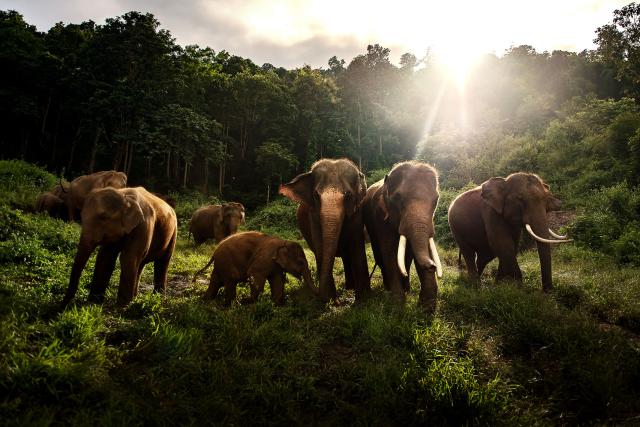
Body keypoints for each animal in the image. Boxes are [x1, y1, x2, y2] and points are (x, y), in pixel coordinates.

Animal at [279, 158, 371, 303]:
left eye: (348, 195)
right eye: (316, 196)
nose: (339, 302)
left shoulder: (357, 213)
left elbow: (357, 247)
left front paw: (362, 301)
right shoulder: (313, 216)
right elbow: (320, 247)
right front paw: (330, 300)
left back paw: (349, 288)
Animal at [362, 161, 443, 311]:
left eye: (436, 200)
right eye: (398, 198)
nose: (432, 266)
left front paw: (426, 310)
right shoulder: (380, 218)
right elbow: (390, 253)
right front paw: (397, 306)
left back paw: (406, 288)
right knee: (380, 255)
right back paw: (389, 288)